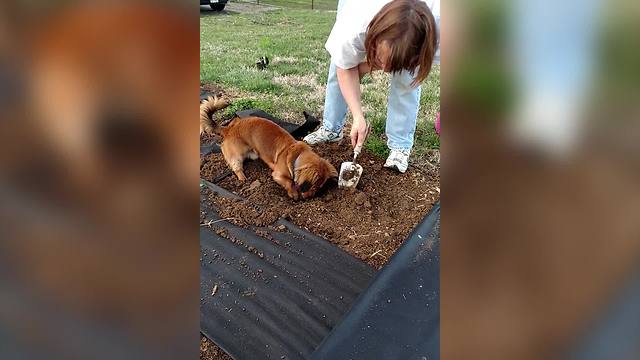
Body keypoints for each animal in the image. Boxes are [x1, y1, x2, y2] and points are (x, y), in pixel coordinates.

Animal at [202, 95, 338, 201]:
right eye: (313, 187)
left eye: (319, 188)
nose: (309, 198)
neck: (297, 155)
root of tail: (228, 129)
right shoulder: (278, 174)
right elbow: (289, 182)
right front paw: (294, 193)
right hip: (236, 155)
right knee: (236, 167)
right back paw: (243, 178)